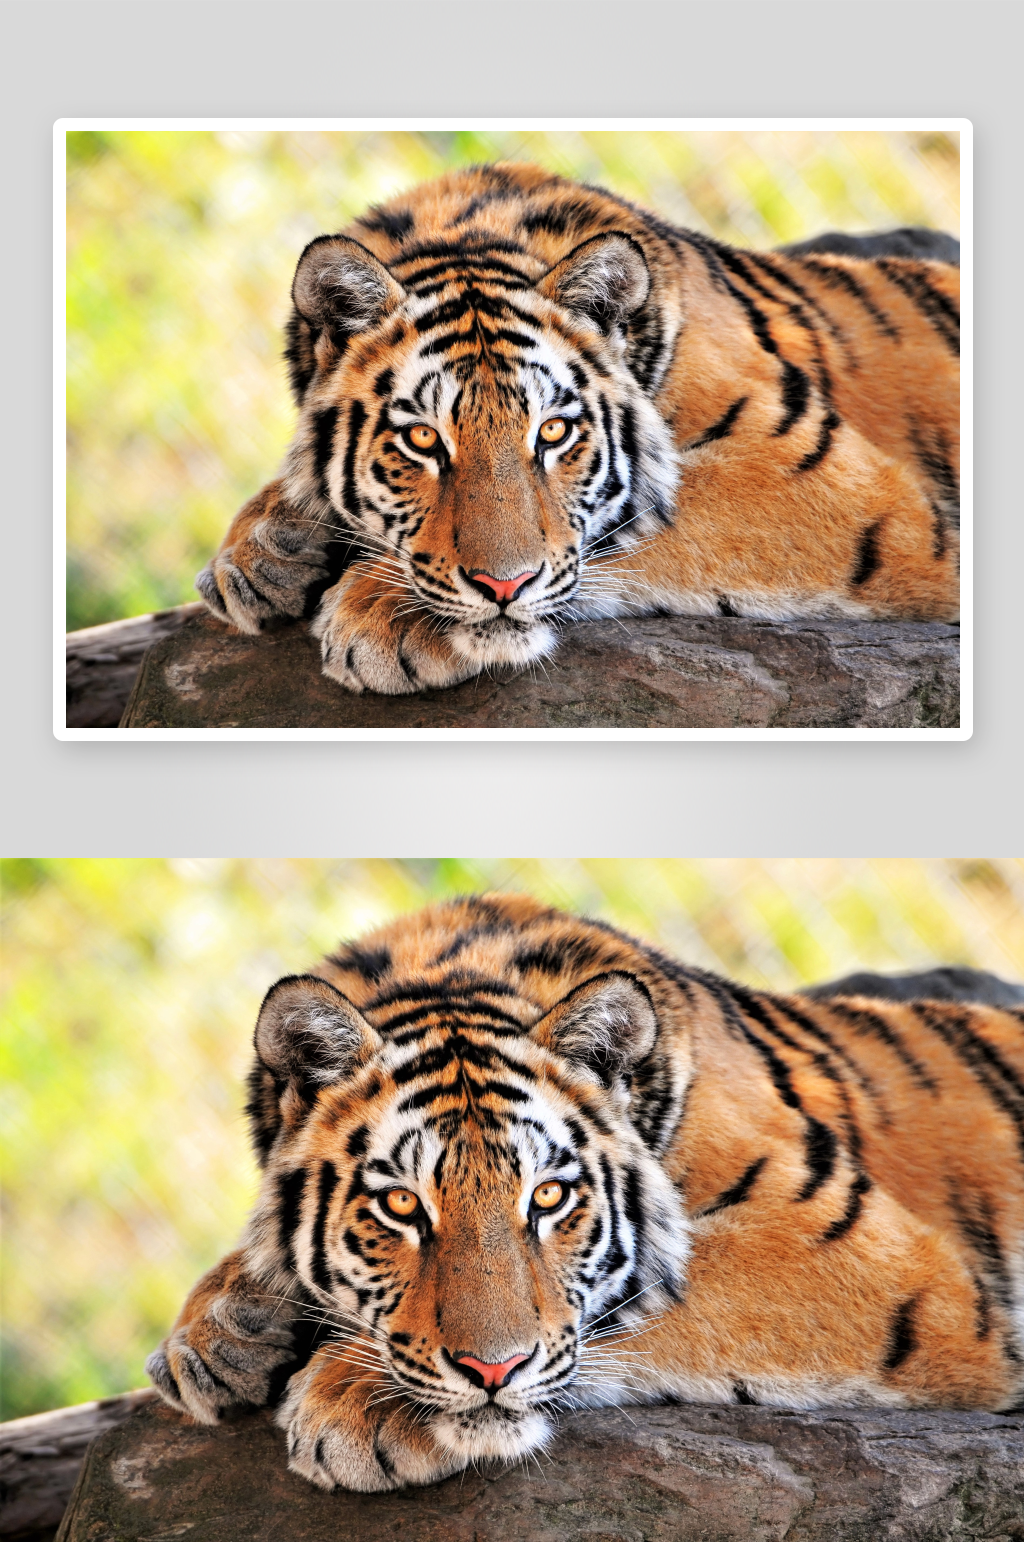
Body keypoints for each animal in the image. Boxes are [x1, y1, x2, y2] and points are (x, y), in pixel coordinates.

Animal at [146, 893, 1023, 1495]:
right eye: (401, 1206)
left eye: (548, 1198)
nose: (491, 1371)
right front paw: (220, 1332)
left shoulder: (876, 1260)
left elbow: (639, 1303)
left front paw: (356, 1400)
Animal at [194, 161, 961, 696]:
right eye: (423, 440)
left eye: (554, 433)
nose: (502, 589)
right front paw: (260, 552)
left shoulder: (842, 488)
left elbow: (632, 528)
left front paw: (384, 613)